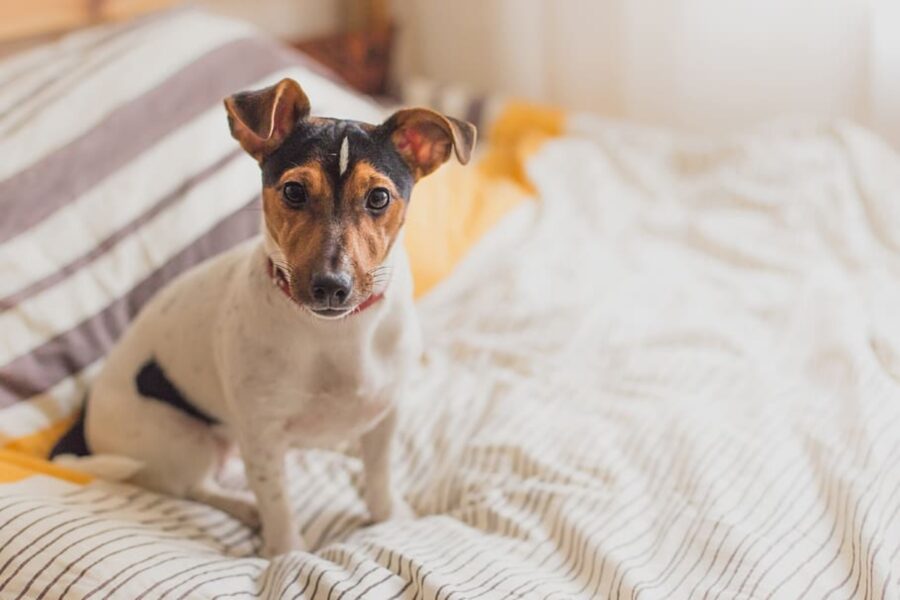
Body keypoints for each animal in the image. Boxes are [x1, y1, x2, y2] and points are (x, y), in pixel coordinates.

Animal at [52, 79, 478, 556]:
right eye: (293, 191)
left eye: (379, 197)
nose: (331, 286)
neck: (335, 334)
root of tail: (85, 420)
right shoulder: (262, 434)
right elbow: (278, 503)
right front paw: (285, 552)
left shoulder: (385, 413)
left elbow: (380, 476)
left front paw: (389, 517)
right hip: (181, 440)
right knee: (194, 486)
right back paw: (243, 506)